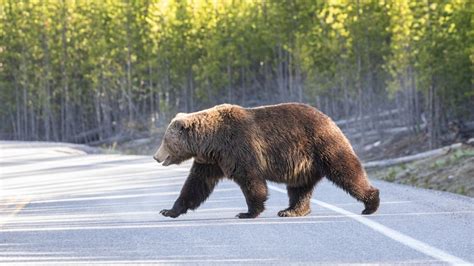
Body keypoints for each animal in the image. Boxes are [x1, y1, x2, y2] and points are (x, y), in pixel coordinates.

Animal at [154, 102, 380, 218]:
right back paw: (291, 210)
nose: (156, 156)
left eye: (165, 140)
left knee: (346, 171)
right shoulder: (211, 161)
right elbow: (196, 184)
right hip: (304, 164)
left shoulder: (238, 147)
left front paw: (248, 212)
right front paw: (169, 210)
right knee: (299, 188)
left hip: (322, 145)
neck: (210, 141)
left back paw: (371, 203)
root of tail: (330, 119)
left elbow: (250, 179)